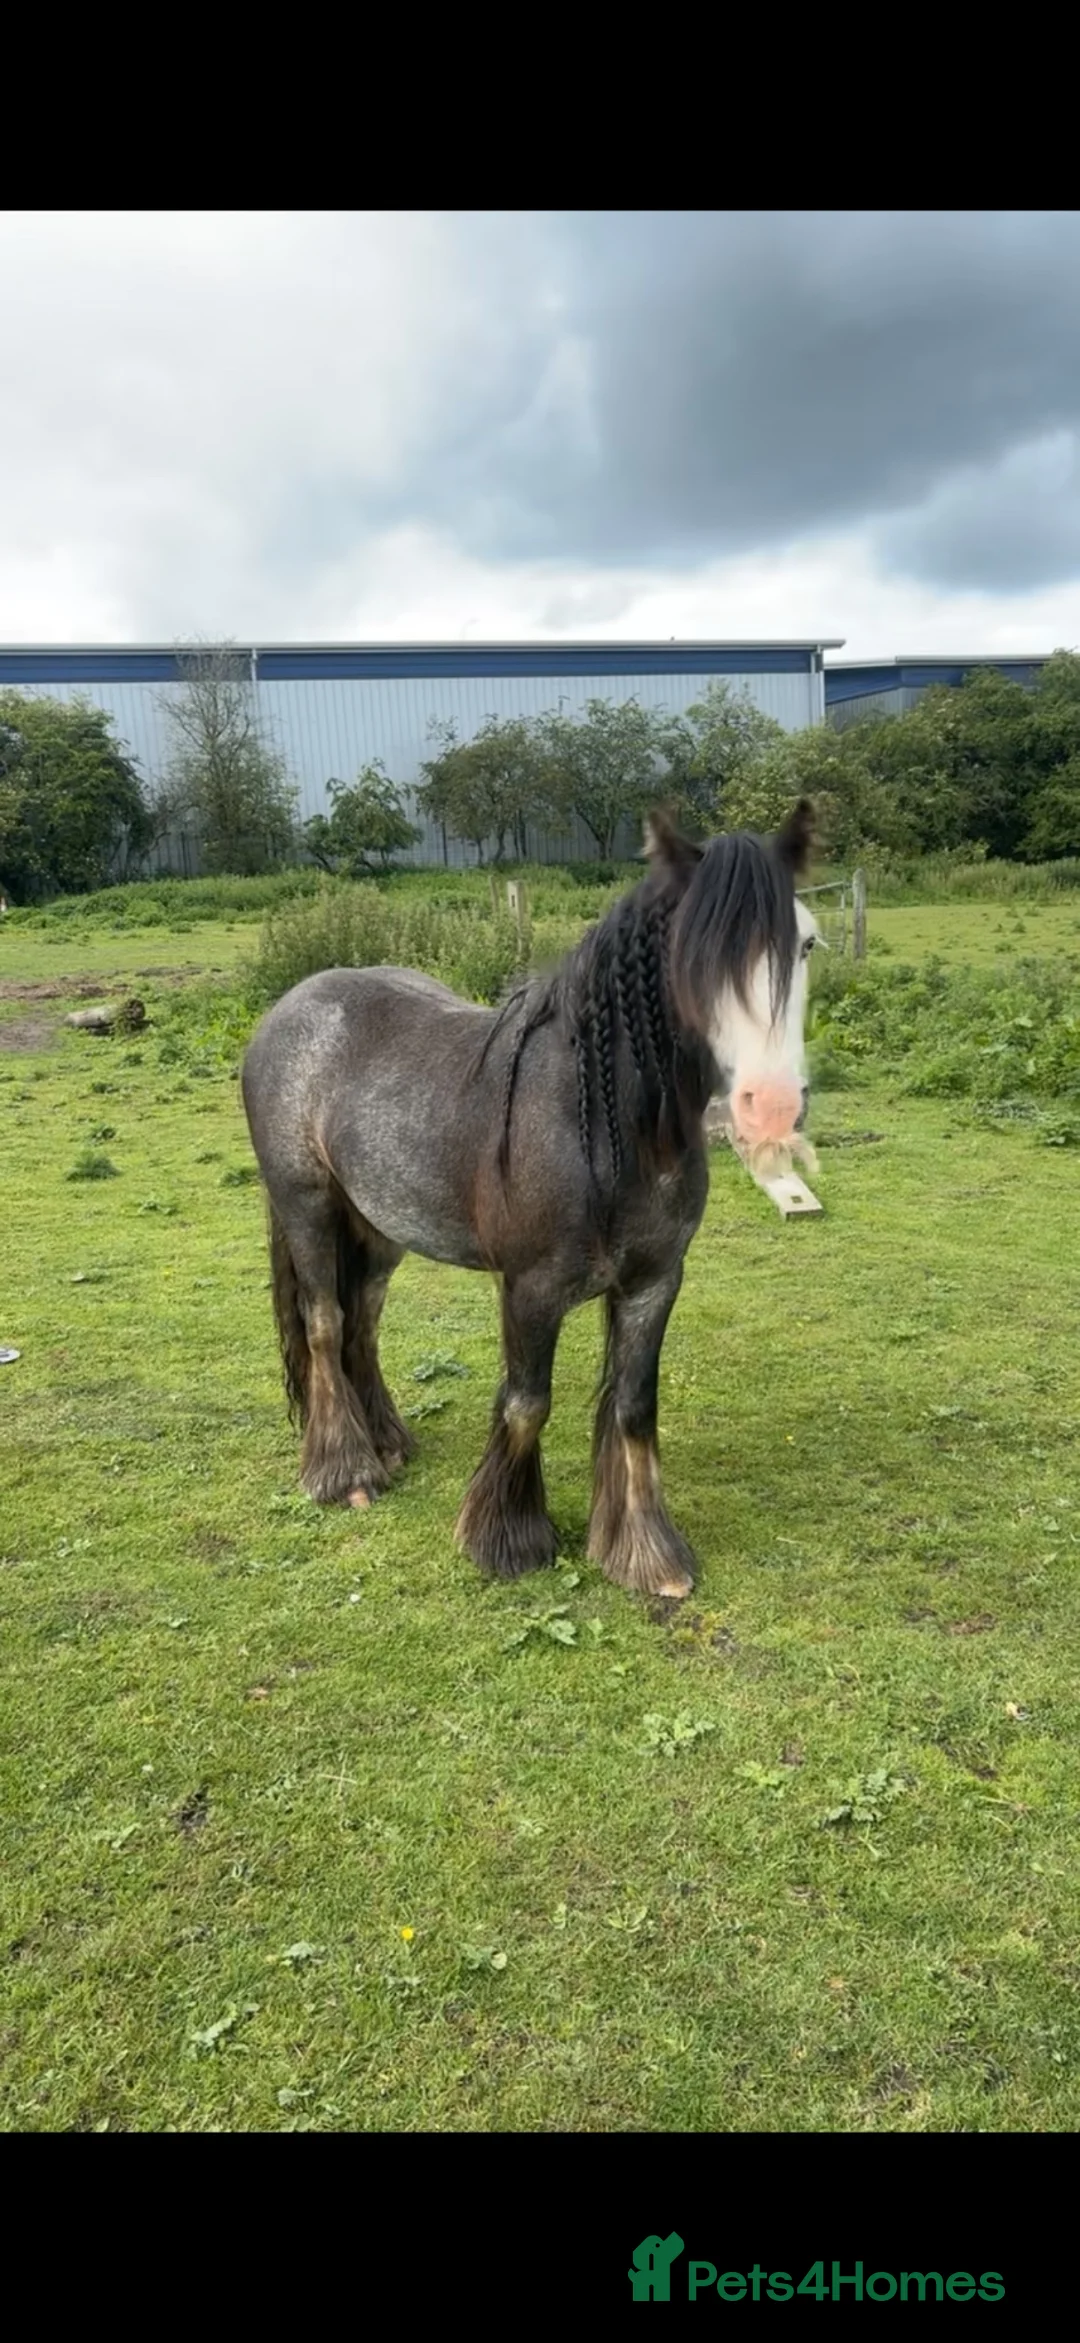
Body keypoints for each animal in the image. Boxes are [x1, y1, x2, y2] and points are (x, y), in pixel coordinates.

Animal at [240, 800, 820, 1602]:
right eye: (693, 952)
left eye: (806, 943)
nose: (773, 1106)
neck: (600, 1124)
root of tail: (288, 1007)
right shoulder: (530, 1289)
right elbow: (526, 1402)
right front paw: (505, 1539)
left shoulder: (654, 1284)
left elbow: (634, 1407)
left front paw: (646, 1555)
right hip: (307, 1206)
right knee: (325, 1322)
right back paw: (346, 1471)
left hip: (380, 1227)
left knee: (363, 1322)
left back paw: (387, 1443)